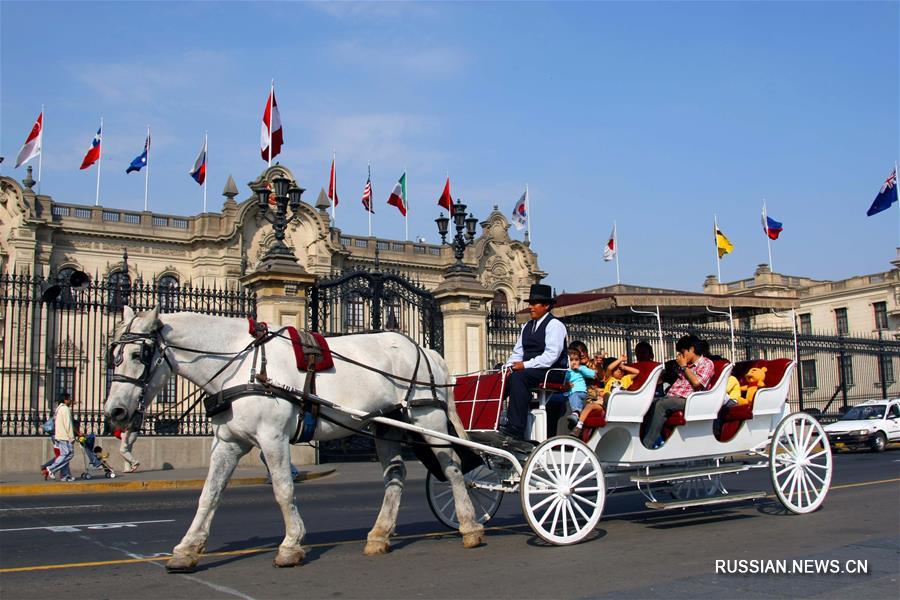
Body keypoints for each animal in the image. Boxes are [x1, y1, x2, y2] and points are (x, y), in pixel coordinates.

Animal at [103, 308, 486, 576]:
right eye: (113, 356)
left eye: (139, 354)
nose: (115, 412)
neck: (242, 363)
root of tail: (425, 349)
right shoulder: (228, 442)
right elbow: (209, 494)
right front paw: (187, 549)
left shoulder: (272, 437)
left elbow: (283, 489)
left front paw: (291, 544)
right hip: (386, 426)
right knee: (395, 476)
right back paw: (379, 534)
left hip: (427, 418)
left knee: (453, 468)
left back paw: (470, 526)